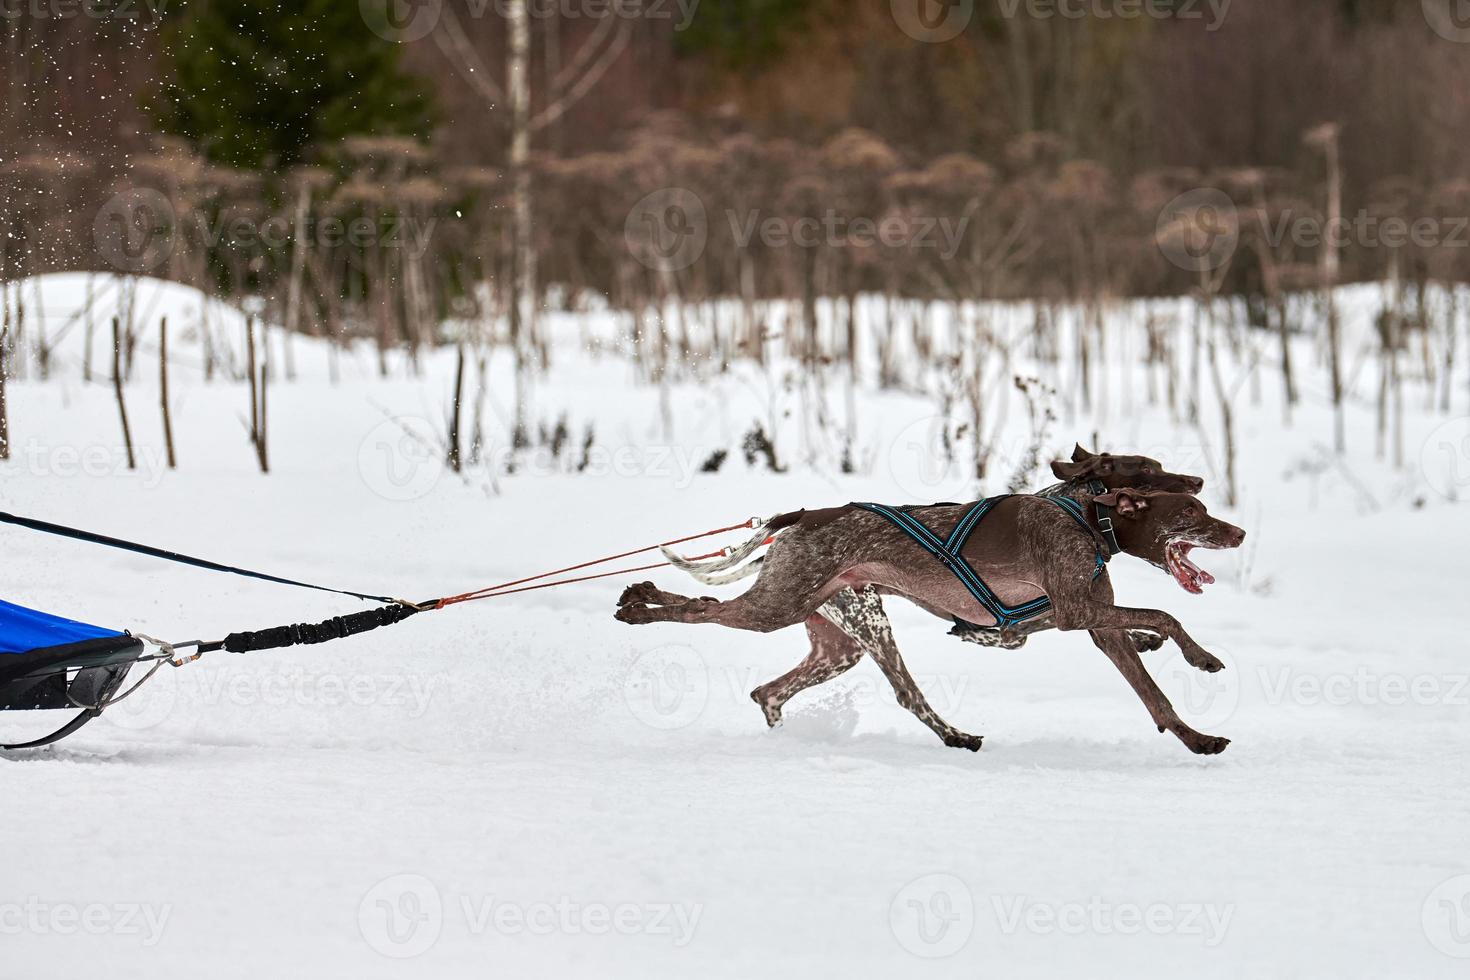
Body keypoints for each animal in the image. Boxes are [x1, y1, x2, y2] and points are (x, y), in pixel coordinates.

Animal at [614, 487, 1246, 758]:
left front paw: (1195, 737)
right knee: (701, 608)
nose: (1238, 532)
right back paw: (639, 601)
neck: (1088, 522)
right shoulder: (1075, 611)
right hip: (780, 609)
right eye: (1191, 511)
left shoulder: (1091, 623)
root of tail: (799, 516)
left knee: (768, 690)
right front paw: (1201, 656)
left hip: (838, 640)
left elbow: (1153, 692)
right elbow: (1165, 613)